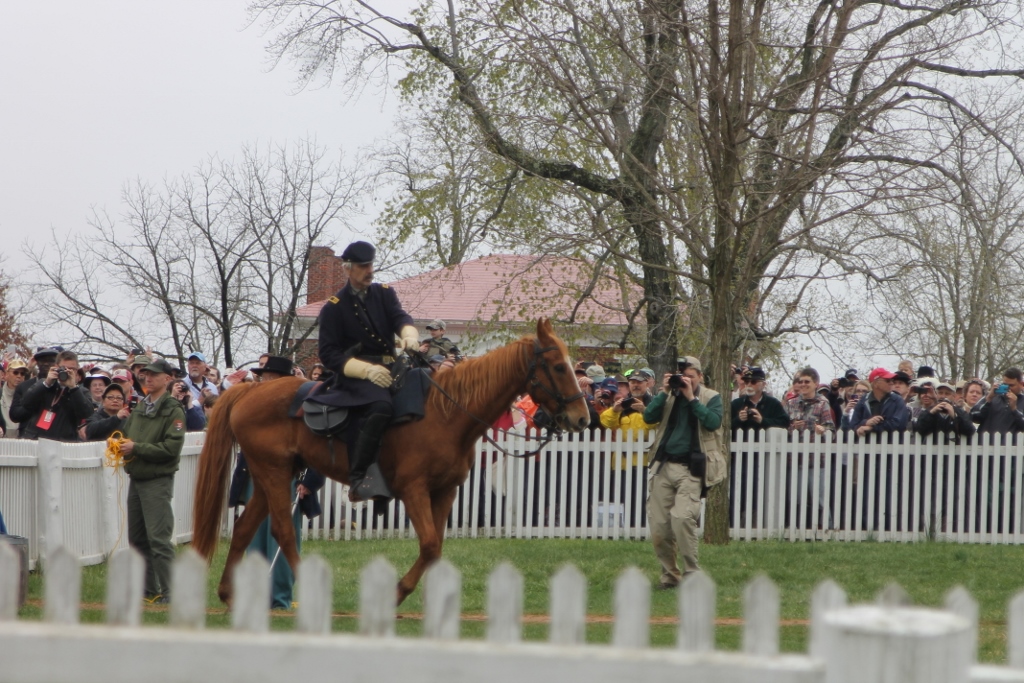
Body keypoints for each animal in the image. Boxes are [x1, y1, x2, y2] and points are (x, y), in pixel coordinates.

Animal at [191, 318, 591, 604]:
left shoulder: (445, 492)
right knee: (283, 532)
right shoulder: (414, 490)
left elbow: (436, 549)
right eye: (558, 366)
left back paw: (227, 594)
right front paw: (399, 592)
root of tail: (248, 392)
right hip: (274, 474)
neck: (446, 413)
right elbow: (429, 545)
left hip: (269, 475)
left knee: (245, 529)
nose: (582, 418)